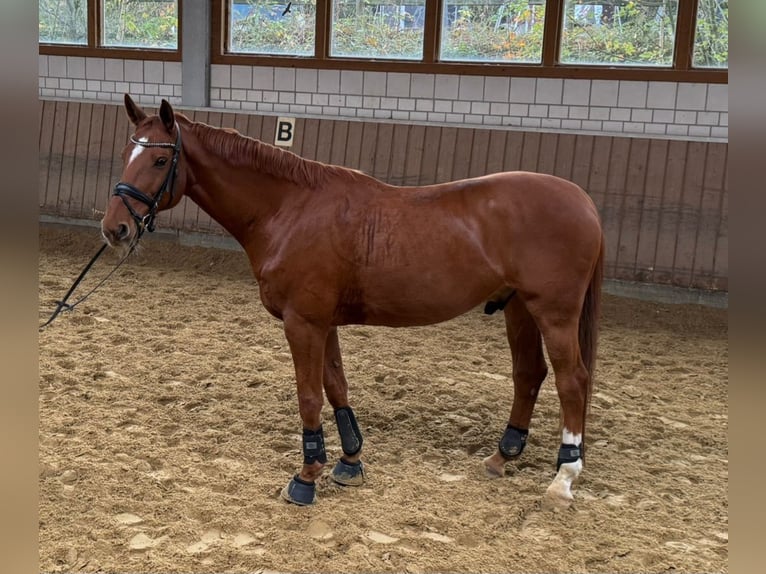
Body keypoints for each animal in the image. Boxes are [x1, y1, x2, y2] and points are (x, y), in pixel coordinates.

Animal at [101, 95, 604, 508]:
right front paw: (349, 461)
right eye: (126, 155)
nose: (114, 228)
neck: (290, 209)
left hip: (553, 313)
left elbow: (308, 395)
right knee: (529, 374)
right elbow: (336, 386)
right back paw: (502, 456)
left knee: (571, 380)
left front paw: (306, 477)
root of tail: (582, 200)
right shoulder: (324, 323)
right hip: (519, 309)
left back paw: (564, 476)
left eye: (160, 158)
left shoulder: (302, 323)